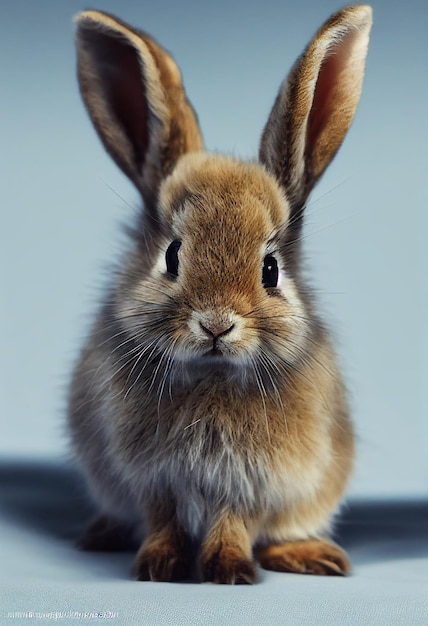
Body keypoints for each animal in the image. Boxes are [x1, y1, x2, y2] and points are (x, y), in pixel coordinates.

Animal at [68, 4, 372, 584]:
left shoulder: (253, 484)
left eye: (270, 269)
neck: (211, 374)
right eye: (172, 256)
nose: (216, 323)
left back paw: (311, 555)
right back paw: (99, 533)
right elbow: (162, 520)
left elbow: (236, 523)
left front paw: (229, 571)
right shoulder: (152, 480)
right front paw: (158, 566)